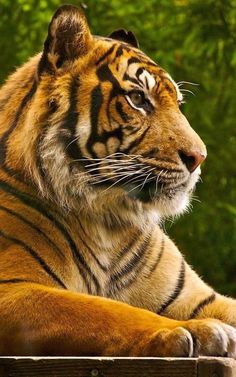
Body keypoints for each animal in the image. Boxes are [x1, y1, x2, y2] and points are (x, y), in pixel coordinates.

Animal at [0, 4, 236, 356]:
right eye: (138, 99)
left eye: (178, 104)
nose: (199, 157)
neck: (108, 222)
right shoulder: (13, 288)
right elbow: (106, 311)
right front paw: (191, 330)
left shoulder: (196, 296)